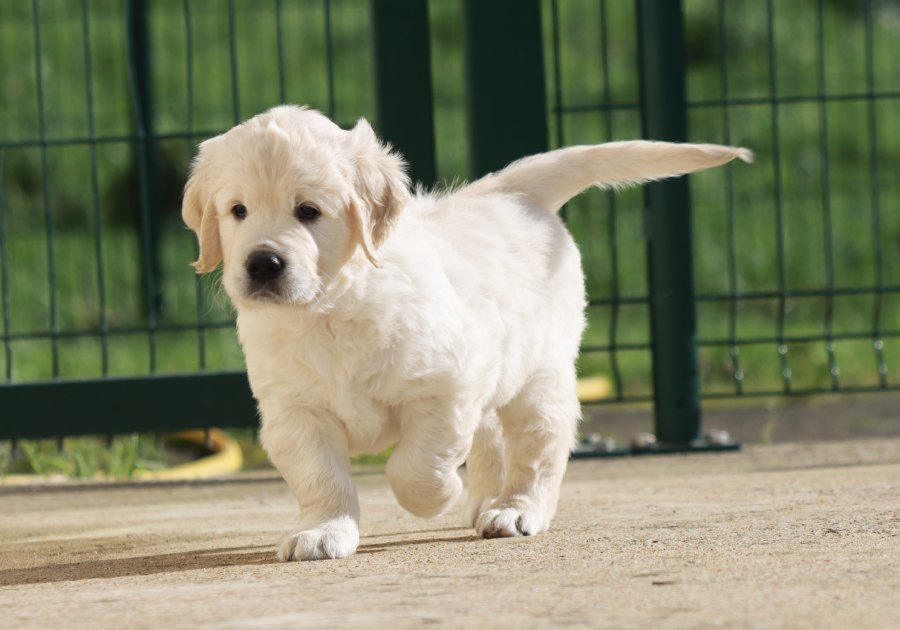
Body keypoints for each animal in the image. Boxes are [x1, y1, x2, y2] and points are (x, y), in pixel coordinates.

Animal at [182, 105, 751, 561]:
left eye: (308, 211)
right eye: (237, 211)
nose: (262, 264)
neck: (330, 309)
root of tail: (511, 190)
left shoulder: (446, 386)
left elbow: (414, 467)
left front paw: (440, 496)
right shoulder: (294, 412)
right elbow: (321, 478)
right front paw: (325, 532)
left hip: (538, 376)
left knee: (538, 449)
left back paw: (514, 511)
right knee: (492, 440)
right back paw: (484, 500)